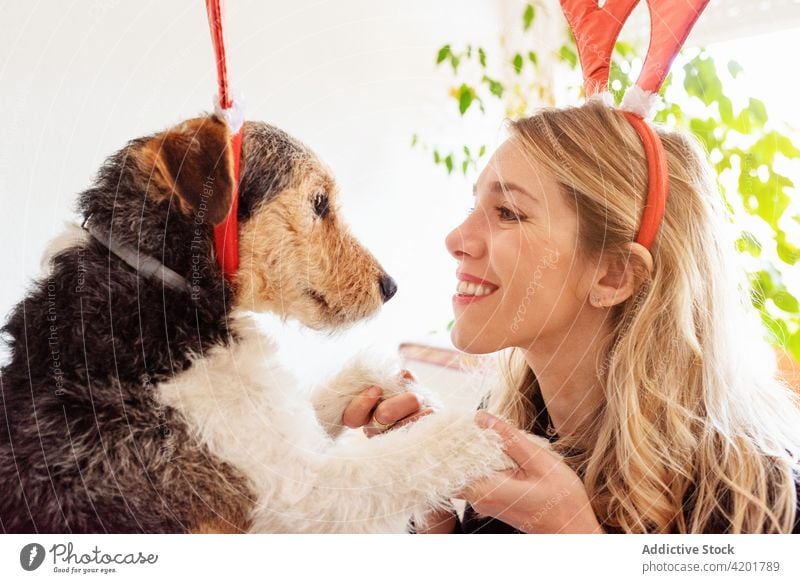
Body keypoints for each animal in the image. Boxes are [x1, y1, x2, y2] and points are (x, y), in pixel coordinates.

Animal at [0, 115, 544, 532]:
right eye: (319, 202)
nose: (389, 287)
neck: (159, 282)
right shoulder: (301, 493)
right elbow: (412, 457)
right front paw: (496, 438)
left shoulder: (282, 431)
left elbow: (326, 396)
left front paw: (397, 384)